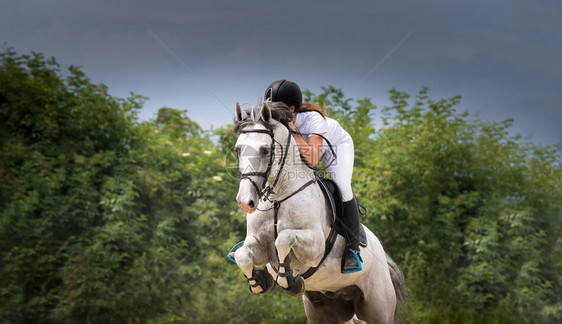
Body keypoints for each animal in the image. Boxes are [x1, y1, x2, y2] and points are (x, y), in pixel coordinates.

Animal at [230, 102, 404, 324]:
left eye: (265, 150)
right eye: (238, 149)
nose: (245, 201)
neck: (278, 199)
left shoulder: (316, 247)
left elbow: (283, 238)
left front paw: (289, 280)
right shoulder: (260, 245)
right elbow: (243, 255)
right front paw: (259, 282)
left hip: (378, 307)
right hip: (325, 309)